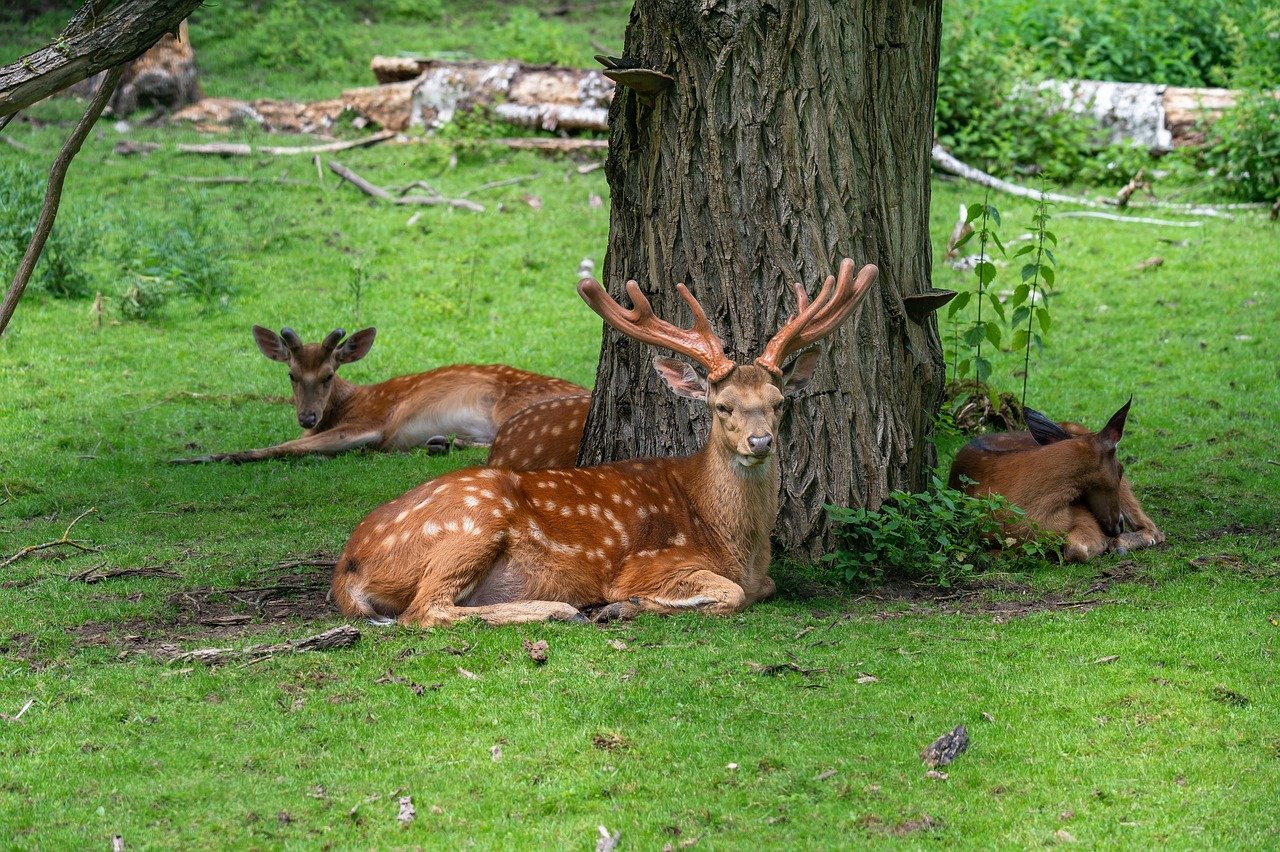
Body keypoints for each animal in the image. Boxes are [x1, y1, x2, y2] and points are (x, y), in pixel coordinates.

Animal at [174, 324, 581, 460]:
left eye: (328, 375)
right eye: (291, 374)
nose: (307, 416)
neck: (346, 404)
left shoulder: (372, 422)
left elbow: (284, 447)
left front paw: (199, 457)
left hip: (513, 406)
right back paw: (440, 443)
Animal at [330, 257, 880, 624]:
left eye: (779, 401)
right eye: (721, 406)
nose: (760, 441)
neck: (731, 538)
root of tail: (346, 568)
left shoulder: (758, 572)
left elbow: (764, 586)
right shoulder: (647, 562)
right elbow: (731, 594)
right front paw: (627, 605)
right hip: (471, 523)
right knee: (425, 611)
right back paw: (560, 608)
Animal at [947, 399, 1167, 560]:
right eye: (1120, 469)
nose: (1116, 527)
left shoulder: (1083, 517)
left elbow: (1076, 549)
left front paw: (1105, 543)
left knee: (1154, 529)